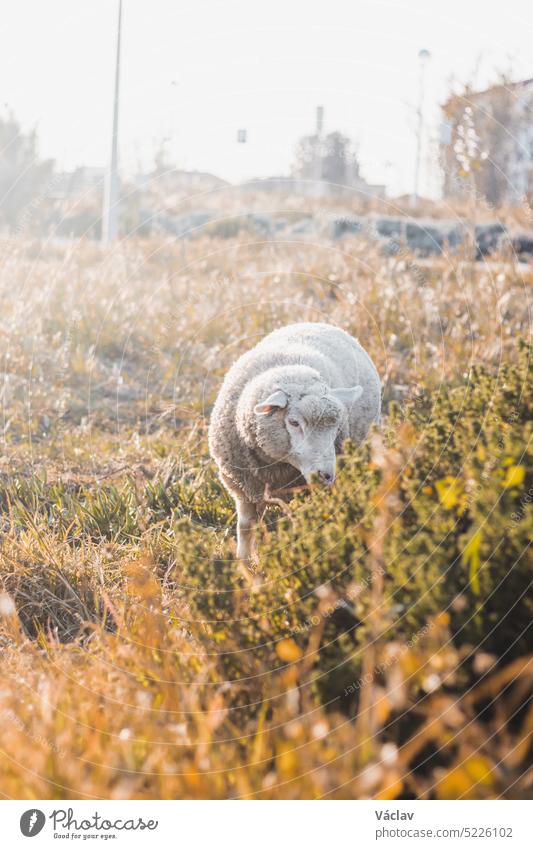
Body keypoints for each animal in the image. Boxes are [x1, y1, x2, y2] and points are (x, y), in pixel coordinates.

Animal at [207, 322, 378, 560]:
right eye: (294, 422)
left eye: (336, 427)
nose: (326, 475)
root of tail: (317, 323)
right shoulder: (243, 487)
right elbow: (246, 527)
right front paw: (243, 562)